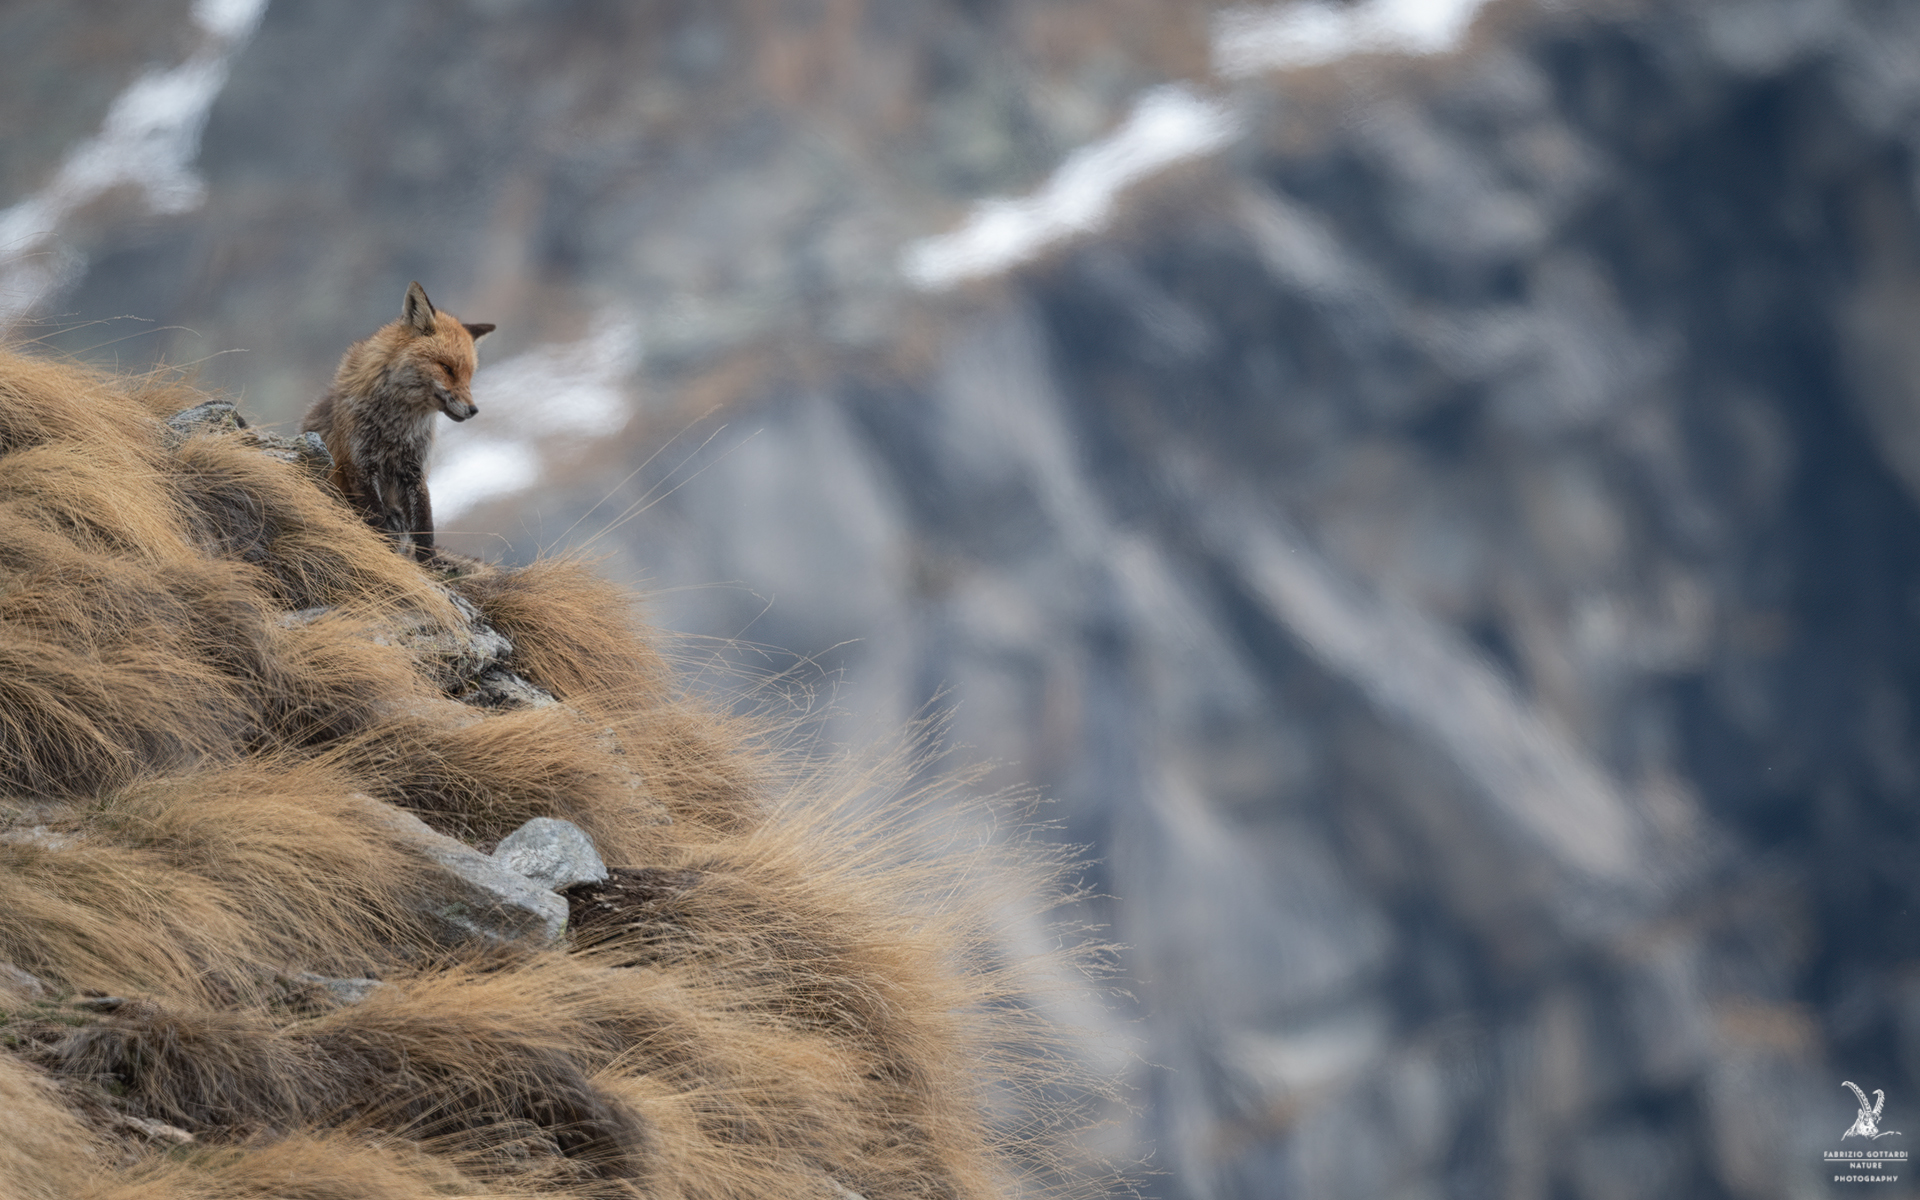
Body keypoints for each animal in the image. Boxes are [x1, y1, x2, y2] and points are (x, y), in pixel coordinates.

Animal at [301, 281, 494, 563]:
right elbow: (376, 518)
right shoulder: (360, 464)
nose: (473, 410)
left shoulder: (414, 471)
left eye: (469, 376)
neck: (397, 427)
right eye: (446, 368)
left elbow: (424, 526)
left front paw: (430, 565)